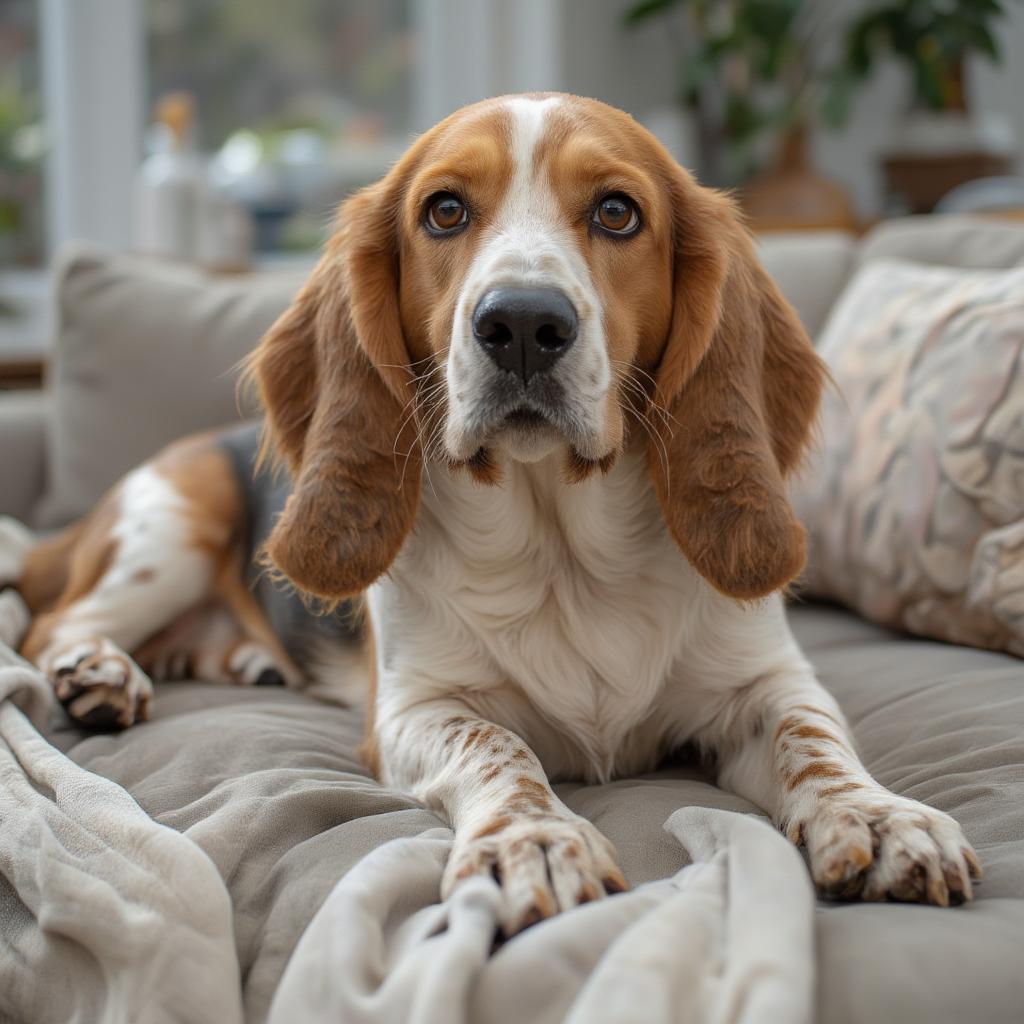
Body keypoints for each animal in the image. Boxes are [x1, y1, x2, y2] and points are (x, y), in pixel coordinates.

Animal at [0, 96, 978, 937]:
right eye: (443, 212)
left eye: (617, 213)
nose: (522, 324)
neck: (562, 551)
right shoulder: (414, 713)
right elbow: (498, 748)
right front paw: (533, 840)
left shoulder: (768, 681)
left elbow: (815, 742)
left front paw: (878, 817)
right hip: (172, 520)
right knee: (52, 622)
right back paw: (101, 672)